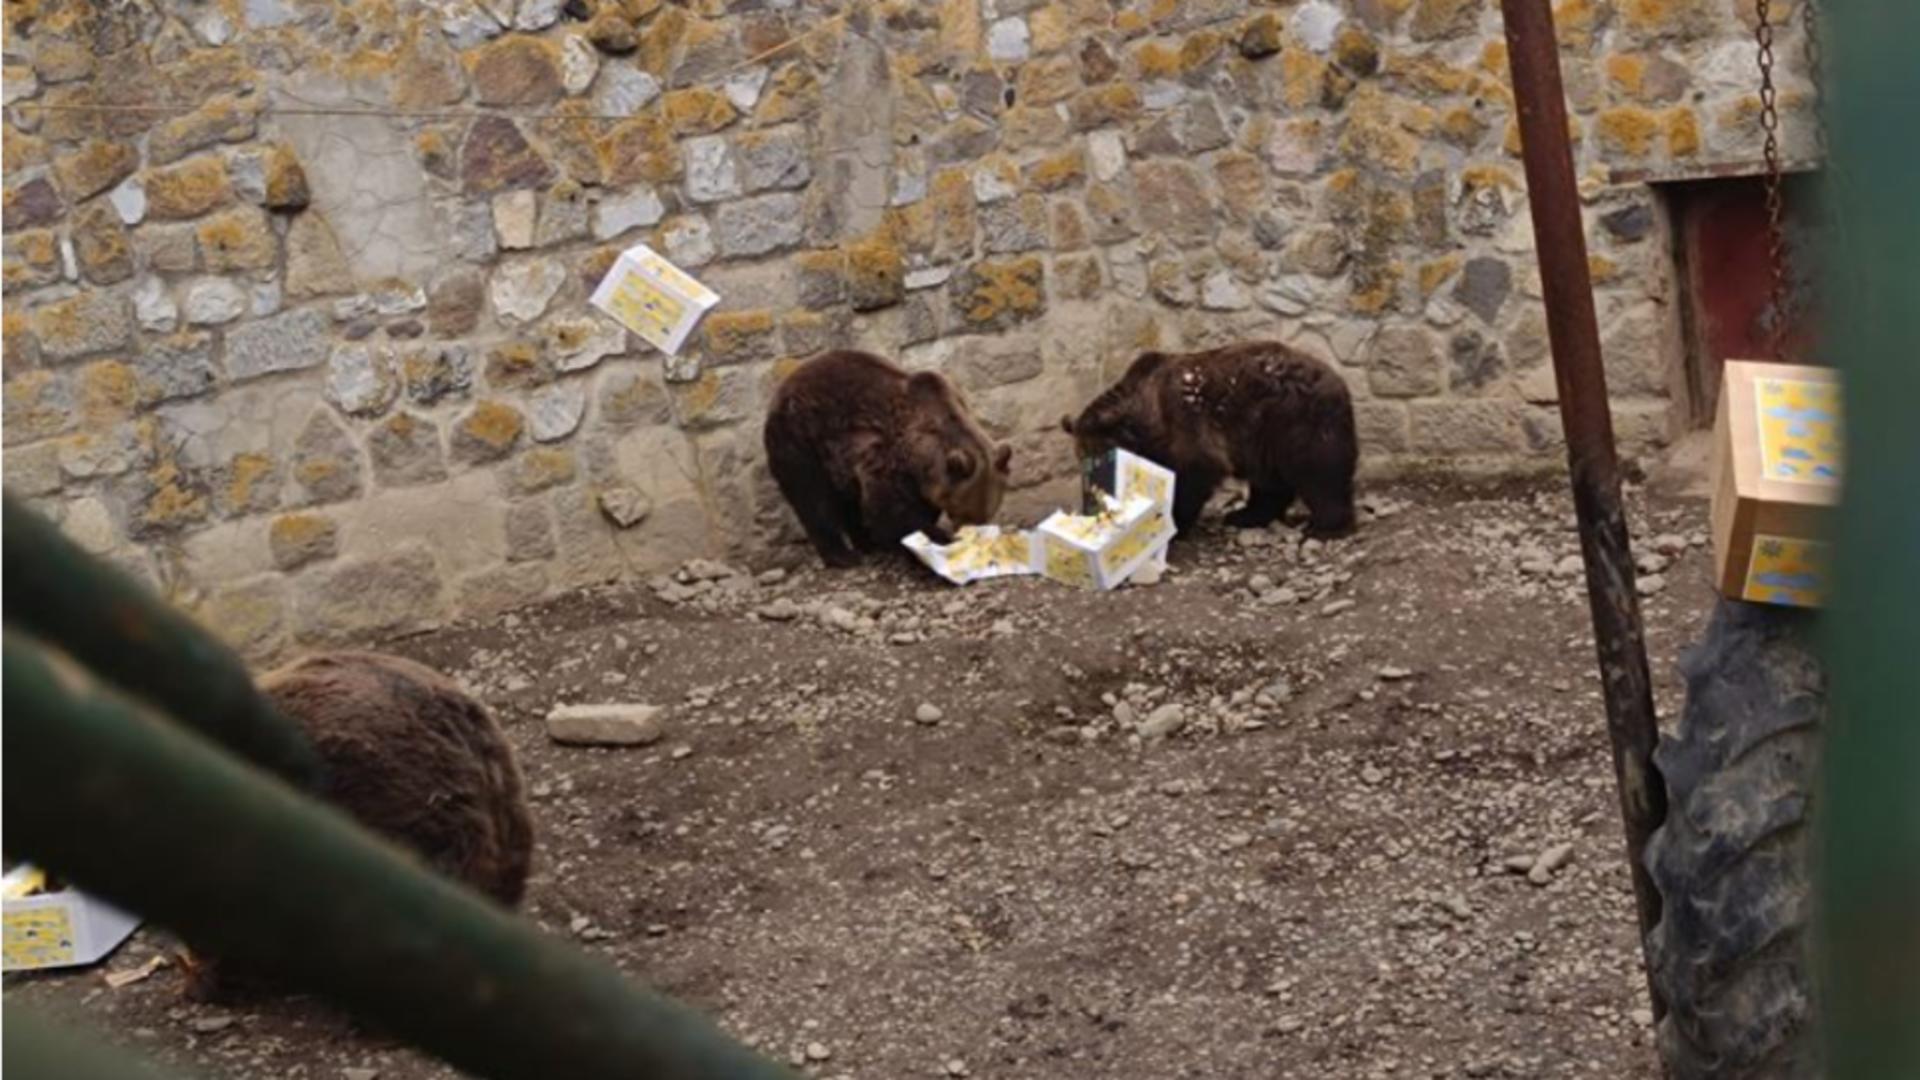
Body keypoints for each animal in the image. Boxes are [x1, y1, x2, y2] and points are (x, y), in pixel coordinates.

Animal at [764, 345, 1013, 568]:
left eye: (985, 513)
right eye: (965, 512)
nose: (969, 532)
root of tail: (786, 383)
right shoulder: (887, 455)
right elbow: (892, 510)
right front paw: (937, 538)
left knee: (847, 500)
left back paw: (867, 543)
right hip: (801, 440)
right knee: (813, 498)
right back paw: (843, 557)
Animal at [1059, 338, 1359, 534]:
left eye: (1102, 459)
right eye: (1083, 463)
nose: (1092, 503)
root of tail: (1338, 381)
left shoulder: (1185, 424)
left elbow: (1195, 470)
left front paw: (1174, 521)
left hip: (1296, 421)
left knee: (1319, 472)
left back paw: (1324, 526)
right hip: (1262, 436)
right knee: (1270, 480)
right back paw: (1244, 515)